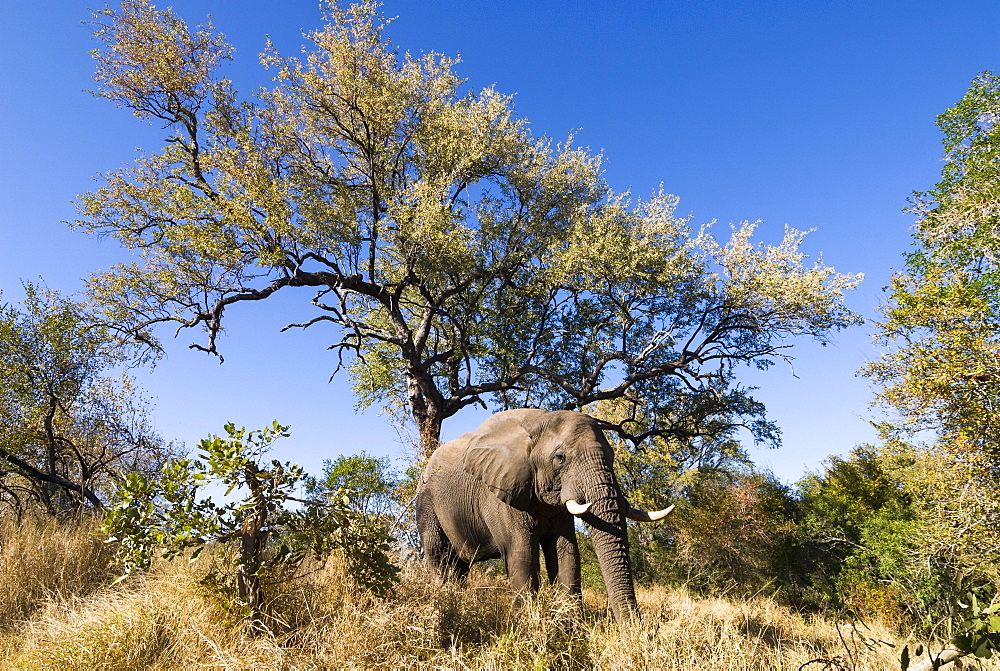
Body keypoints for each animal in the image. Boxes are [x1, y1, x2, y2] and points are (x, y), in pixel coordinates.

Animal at [414, 410, 672, 624]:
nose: (638, 630)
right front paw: (530, 627)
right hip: (427, 503)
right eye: (560, 457)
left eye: (612, 457)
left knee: (459, 568)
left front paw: (569, 629)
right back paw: (444, 604)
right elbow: (522, 556)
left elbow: (565, 554)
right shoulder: (501, 493)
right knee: (439, 557)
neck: (539, 421)